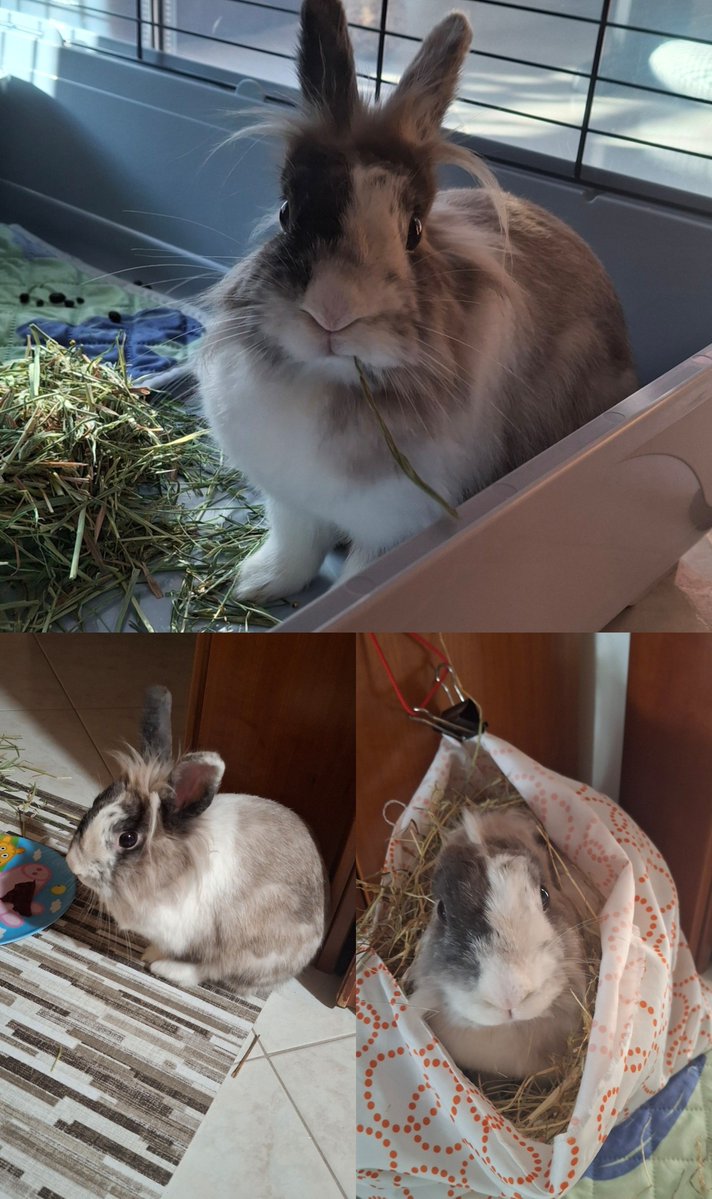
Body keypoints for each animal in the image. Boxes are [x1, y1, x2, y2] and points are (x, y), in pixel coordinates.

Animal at [65, 685, 327, 990]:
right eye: (97, 800)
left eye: (128, 838)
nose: (73, 864)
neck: (171, 871)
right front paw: (150, 951)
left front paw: (153, 957)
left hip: (247, 945)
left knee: (212, 969)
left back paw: (166, 968)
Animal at [197, 0, 637, 602]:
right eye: (286, 213)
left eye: (414, 231)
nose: (333, 313)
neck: (332, 385)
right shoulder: (292, 504)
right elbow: (295, 549)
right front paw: (252, 585)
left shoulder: (396, 528)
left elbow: (356, 579)